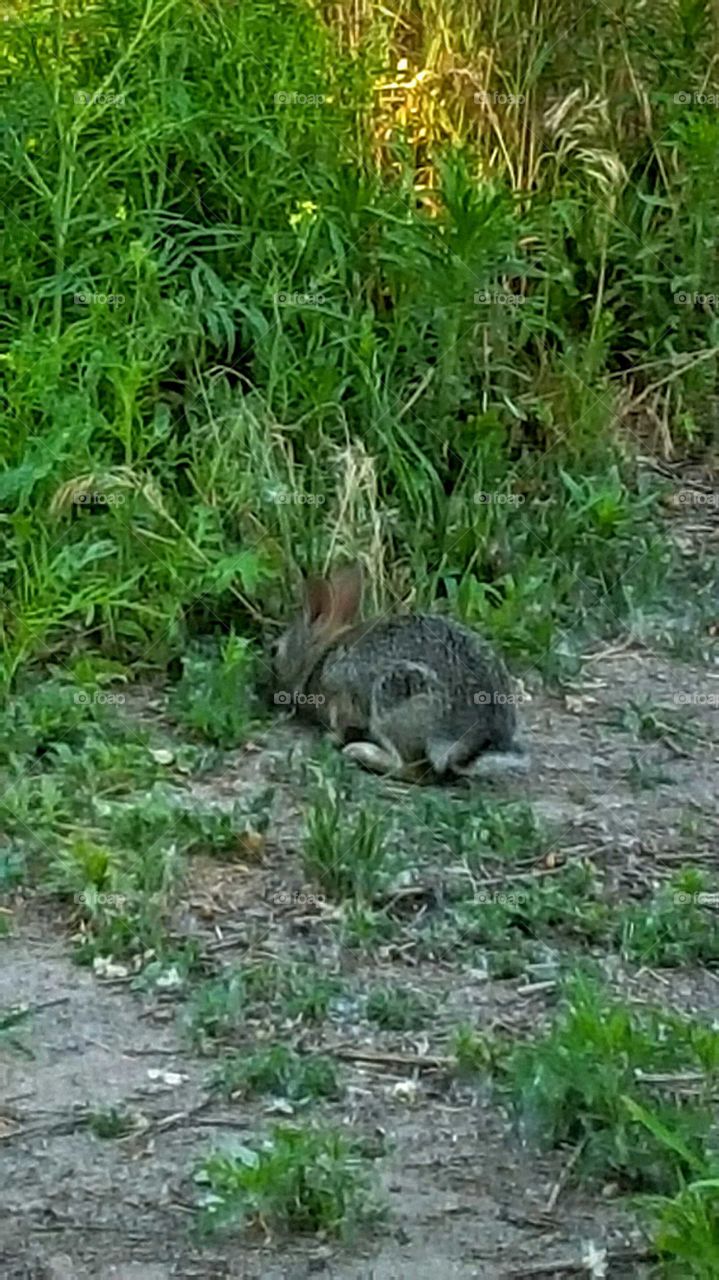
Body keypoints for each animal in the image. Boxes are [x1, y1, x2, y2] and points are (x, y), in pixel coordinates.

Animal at [269, 568, 527, 783]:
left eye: (275, 651)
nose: (271, 688)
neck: (322, 655)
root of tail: (473, 744)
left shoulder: (340, 695)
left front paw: (330, 739)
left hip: (395, 697)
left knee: (414, 769)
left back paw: (361, 752)